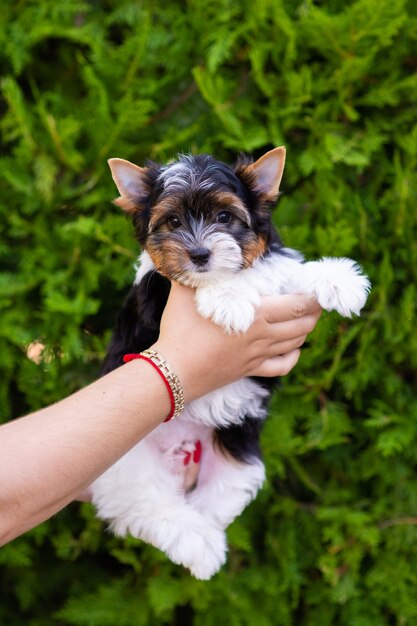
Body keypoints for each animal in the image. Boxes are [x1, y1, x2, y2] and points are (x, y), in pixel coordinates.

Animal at [91, 146, 370, 576]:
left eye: (224, 218)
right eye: (173, 221)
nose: (200, 255)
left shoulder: (271, 274)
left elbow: (281, 273)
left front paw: (338, 279)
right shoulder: (157, 294)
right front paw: (228, 296)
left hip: (237, 450)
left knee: (224, 492)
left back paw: (209, 536)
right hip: (123, 459)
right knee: (148, 503)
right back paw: (198, 546)